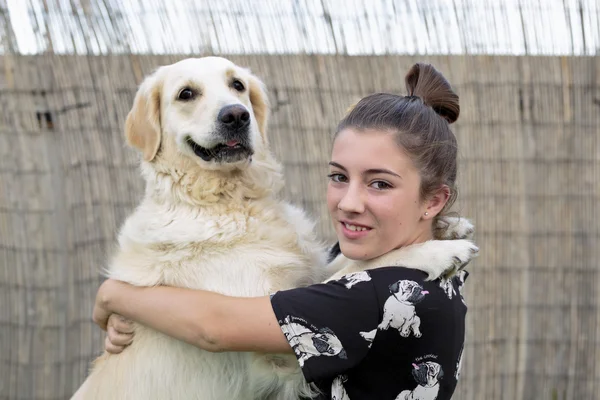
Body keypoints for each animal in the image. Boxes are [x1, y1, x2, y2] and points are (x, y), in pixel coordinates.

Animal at [72, 57, 478, 400]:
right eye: (186, 93)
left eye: (237, 85)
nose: (236, 115)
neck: (230, 201)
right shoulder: (271, 345)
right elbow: (364, 265)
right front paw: (438, 251)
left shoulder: (303, 268)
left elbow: (341, 262)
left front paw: (450, 226)